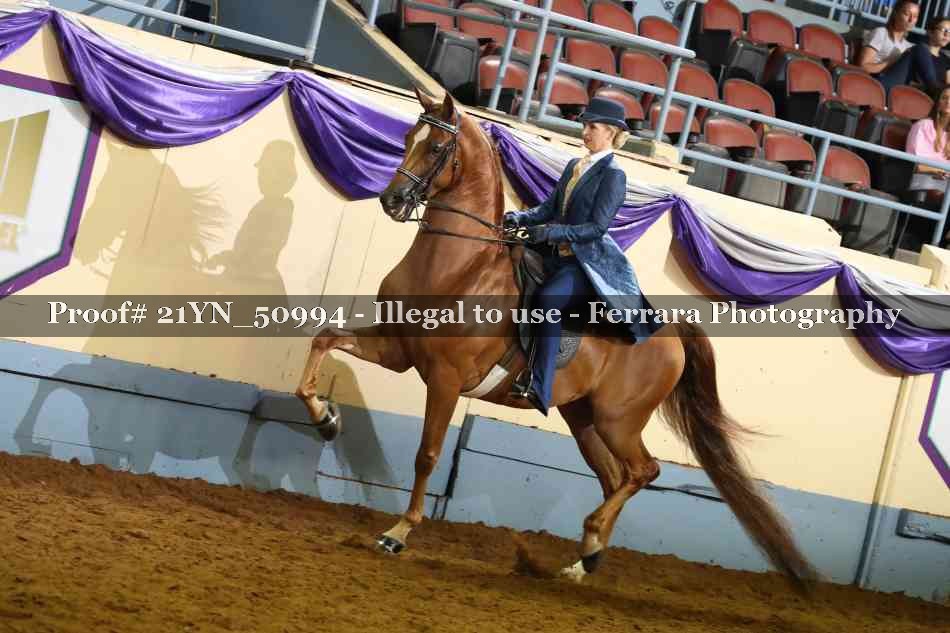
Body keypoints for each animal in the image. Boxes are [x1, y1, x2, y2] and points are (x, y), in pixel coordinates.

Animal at [295, 88, 816, 589]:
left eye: (438, 147)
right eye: (406, 139)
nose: (392, 200)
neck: (460, 265)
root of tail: (667, 329)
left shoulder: (445, 378)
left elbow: (427, 453)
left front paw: (398, 533)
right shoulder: (396, 349)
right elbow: (324, 340)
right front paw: (327, 420)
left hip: (617, 420)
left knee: (643, 471)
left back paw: (590, 542)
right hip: (582, 418)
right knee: (614, 477)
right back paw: (585, 559)